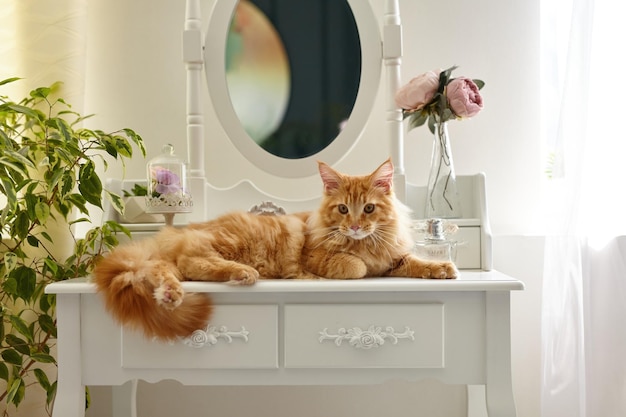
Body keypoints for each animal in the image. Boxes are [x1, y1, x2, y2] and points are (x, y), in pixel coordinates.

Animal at [92, 158, 454, 340]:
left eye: (368, 209)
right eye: (342, 209)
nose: (353, 226)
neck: (365, 242)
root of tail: (172, 232)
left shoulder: (394, 258)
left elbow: (416, 262)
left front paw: (442, 268)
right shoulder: (318, 257)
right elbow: (356, 266)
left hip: (181, 259)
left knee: (163, 269)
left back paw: (170, 294)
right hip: (222, 244)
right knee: (192, 263)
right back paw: (243, 274)